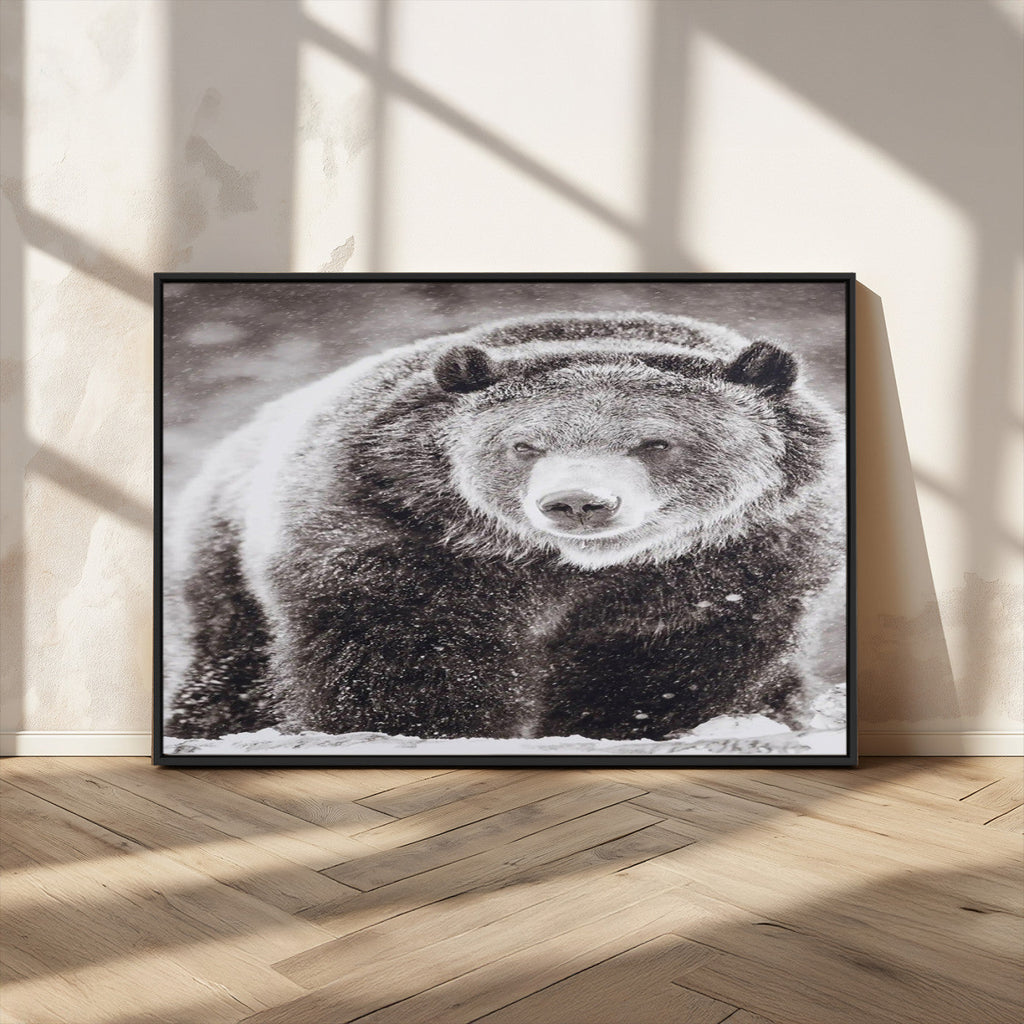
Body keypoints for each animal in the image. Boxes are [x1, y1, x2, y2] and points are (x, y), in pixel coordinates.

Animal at [165, 311, 844, 742]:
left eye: (656, 442)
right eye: (525, 444)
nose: (578, 503)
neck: (568, 569)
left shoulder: (738, 558)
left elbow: (672, 660)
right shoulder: (398, 530)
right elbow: (404, 649)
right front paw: (426, 725)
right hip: (224, 560)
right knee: (232, 663)